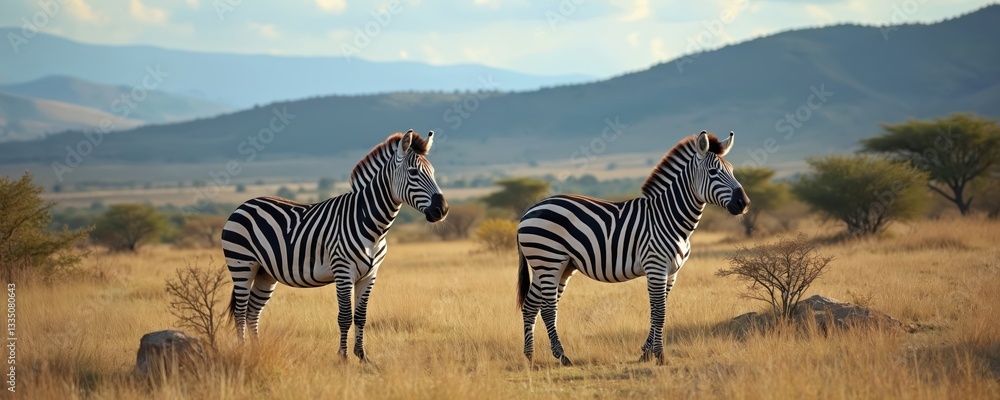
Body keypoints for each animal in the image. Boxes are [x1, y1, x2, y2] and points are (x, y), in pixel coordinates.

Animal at [221, 130, 448, 362]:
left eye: (433, 172)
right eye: (413, 172)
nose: (442, 209)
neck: (372, 224)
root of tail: (244, 204)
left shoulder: (370, 274)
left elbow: (361, 316)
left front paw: (362, 357)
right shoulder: (343, 271)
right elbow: (345, 316)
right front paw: (343, 358)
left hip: (265, 272)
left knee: (253, 312)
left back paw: (256, 352)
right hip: (242, 264)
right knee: (241, 311)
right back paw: (243, 352)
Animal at [516, 130, 749, 366]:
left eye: (732, 170)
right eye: (713, 172)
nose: (744, 203)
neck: (668, 217)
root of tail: (529, 210)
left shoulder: (671, 272)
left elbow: (658, 310)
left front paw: (646, 352)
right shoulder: (656, 267)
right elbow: (659, 312)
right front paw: (660, 356)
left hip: (556, 266)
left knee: (531, 305)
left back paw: (529, 356)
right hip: (549, 261)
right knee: (547, 308)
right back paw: (562, 356)